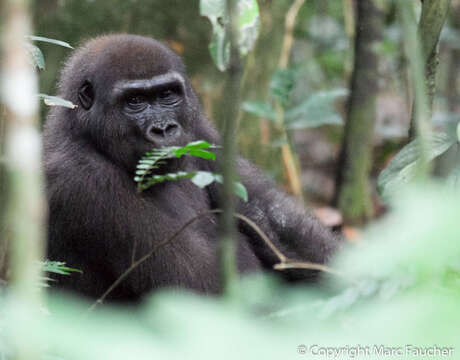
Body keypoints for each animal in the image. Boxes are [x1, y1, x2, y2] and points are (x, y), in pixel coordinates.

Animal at [43, 35, 340, 302]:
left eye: (167, 95)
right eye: (135, 101)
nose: (164, 129)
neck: (84, 134)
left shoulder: (199, 129)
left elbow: (269, 216)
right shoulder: (83, 180)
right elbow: (203, 289)